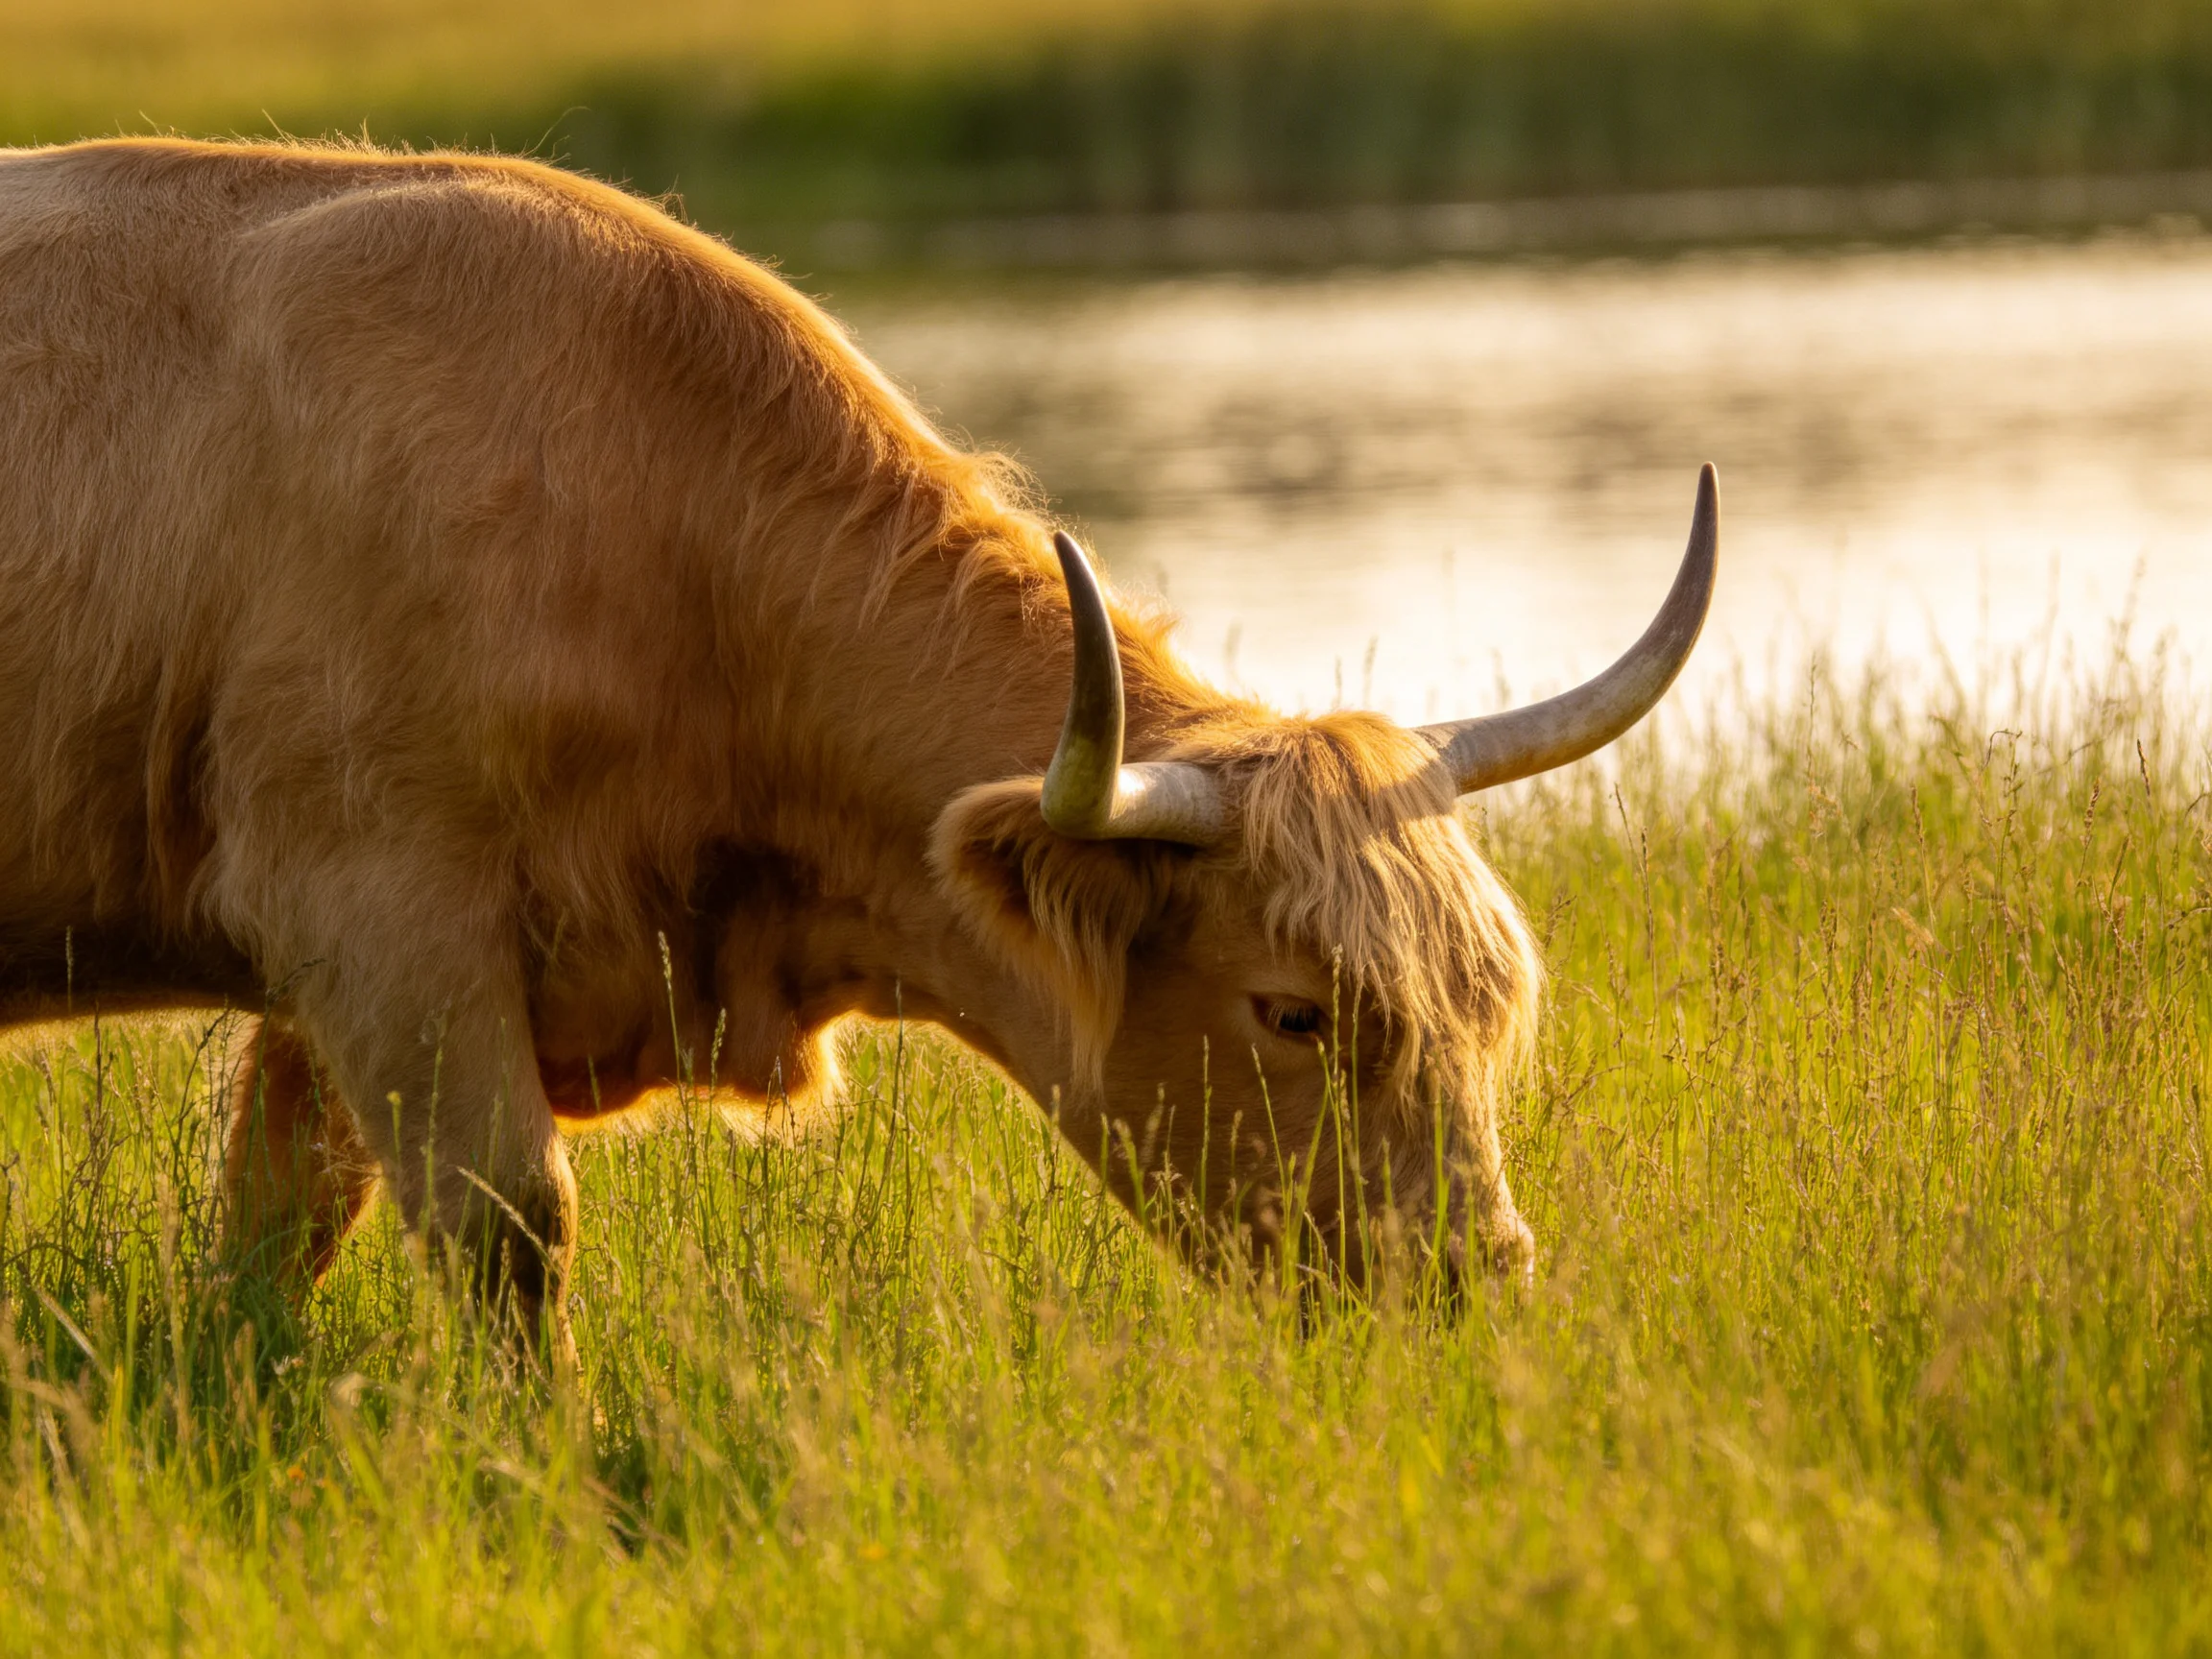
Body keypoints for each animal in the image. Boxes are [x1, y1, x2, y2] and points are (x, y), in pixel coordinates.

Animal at [0, 139, 1716, 1353]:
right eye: (1292, 1012)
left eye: (1487, 1000)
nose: (1476, 1281)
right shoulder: (378, 910)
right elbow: (508, 1233)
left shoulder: (326, 985)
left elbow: (272, 1242)